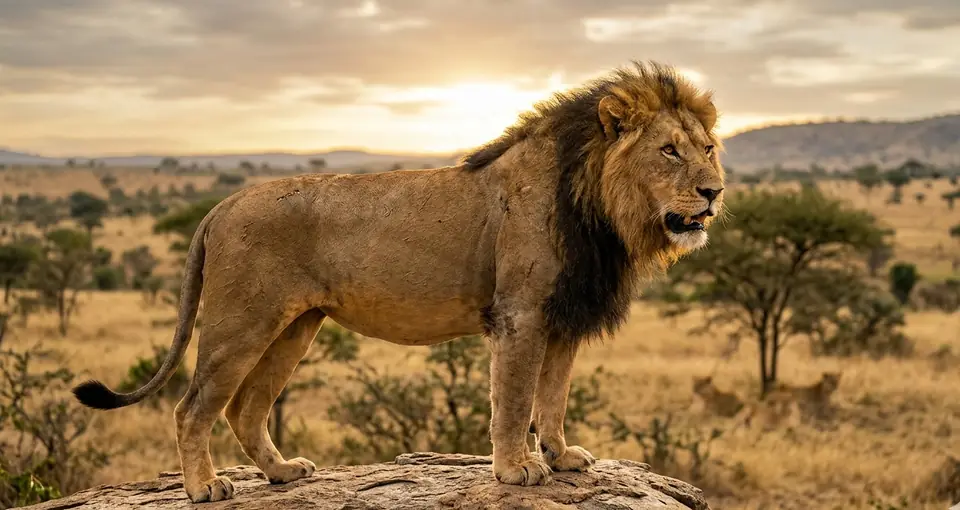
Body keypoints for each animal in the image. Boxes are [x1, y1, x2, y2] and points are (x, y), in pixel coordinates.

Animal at [71, 60, 726, 503]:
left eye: (709, 148)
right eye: (669, 151)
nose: (714, 192)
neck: (599, 207)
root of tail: (222, 204)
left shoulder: (562, 317)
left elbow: (554, 397)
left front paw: (562, 457)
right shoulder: (520, 314)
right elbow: (515, 400)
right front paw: (516, 469)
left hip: (295, 327)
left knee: (246, 408)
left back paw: (282, 473)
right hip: (242, 322)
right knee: (193, 407)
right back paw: (205, 488)